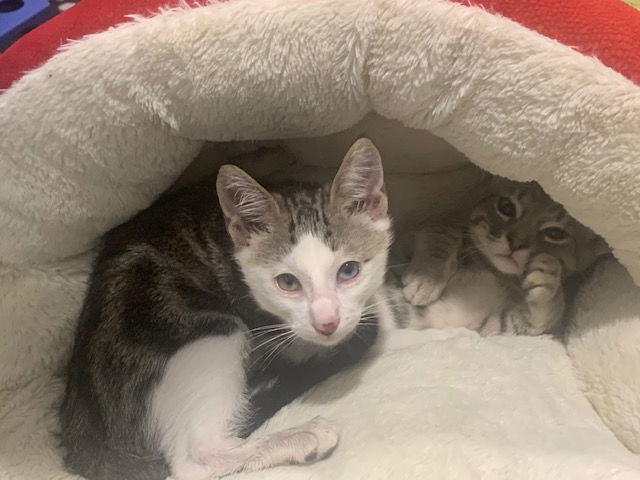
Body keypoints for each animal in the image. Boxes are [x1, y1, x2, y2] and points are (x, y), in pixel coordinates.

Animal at [60, 138, 392, 480]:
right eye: (287, 282)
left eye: (349, 271)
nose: (327, 322)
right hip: (205, 330)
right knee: (192, 461)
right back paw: (299, 436)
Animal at [400, 177, 604, 338]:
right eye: (506, 207)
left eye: (555, 233)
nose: (516, 243)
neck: (495, 272)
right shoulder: (405, 238)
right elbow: (443, 230)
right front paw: (426, 278)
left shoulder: (496, 326)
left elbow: (539, 317)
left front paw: (546, 280)